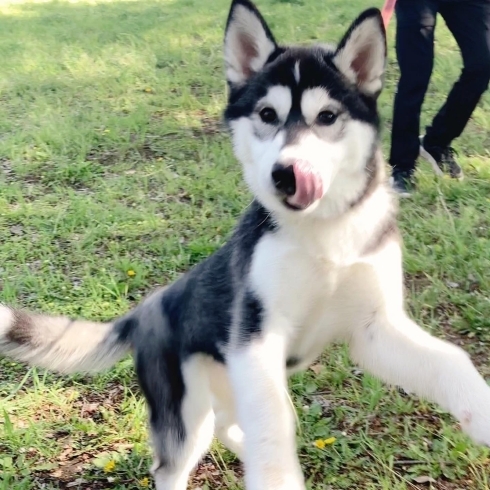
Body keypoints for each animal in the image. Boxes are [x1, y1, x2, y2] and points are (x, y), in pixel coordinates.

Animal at [0, 1, 490, 488]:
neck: (324, 233)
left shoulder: (374, 328)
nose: (286, 174)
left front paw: (482, 414)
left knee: (230, 424)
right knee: (179, 460)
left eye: (327, 117)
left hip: (231, 384)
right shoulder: (255, 336)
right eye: (268, 115)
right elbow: (273, 427)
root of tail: (147, 309)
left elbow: (450, 359)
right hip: (187, 411)